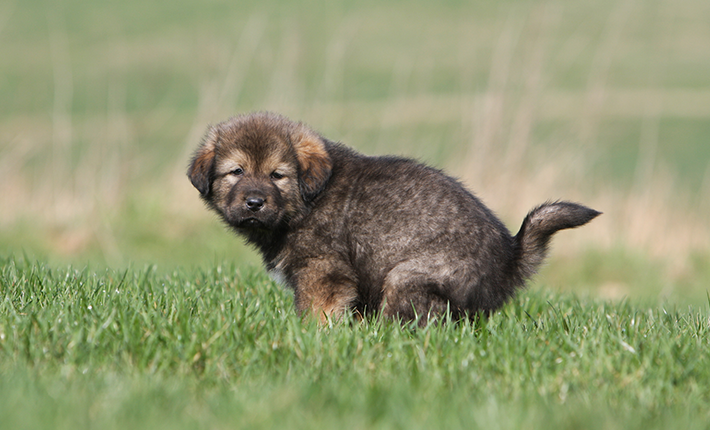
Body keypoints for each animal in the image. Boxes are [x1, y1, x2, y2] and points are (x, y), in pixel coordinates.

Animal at [189, 112, 600, 324]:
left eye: (277, 175)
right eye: (236, 172)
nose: (254, 202)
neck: (306, 201)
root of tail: (510, 258)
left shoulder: (323, 271)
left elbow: (317, 311)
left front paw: (312, 337)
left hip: (407, 277)